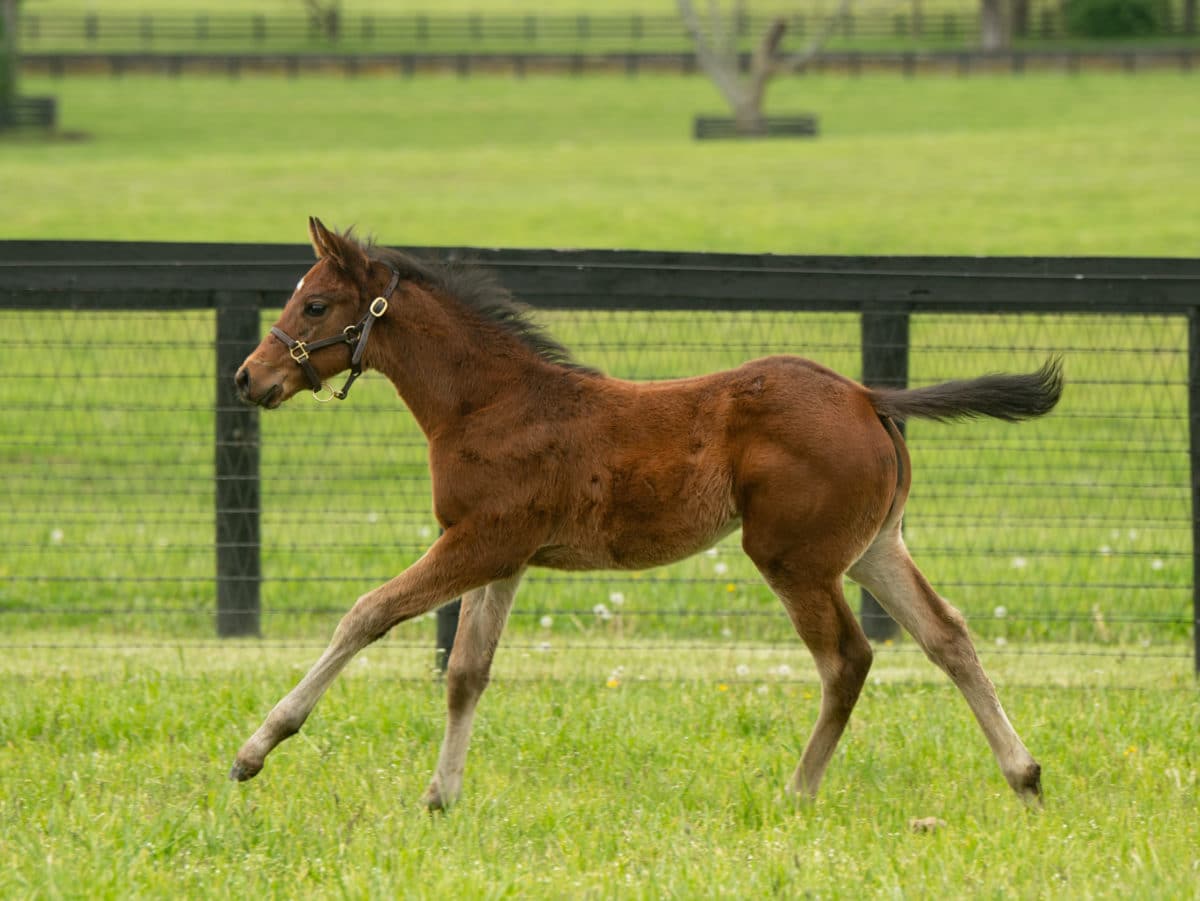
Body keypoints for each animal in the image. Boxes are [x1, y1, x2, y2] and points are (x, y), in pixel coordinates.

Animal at [231, 220, 1060, 811]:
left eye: (315, 303)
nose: (248, 377)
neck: (487, 401)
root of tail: (867, 396)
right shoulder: (505, 556)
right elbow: (467, 670)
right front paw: (441, 796)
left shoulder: (479, 540)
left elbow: (369, 613)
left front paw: (257, 746)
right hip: (874, 546)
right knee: (948, 636)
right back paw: (1024, 776)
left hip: (793, 557)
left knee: (848, 658)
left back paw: (797, 790)